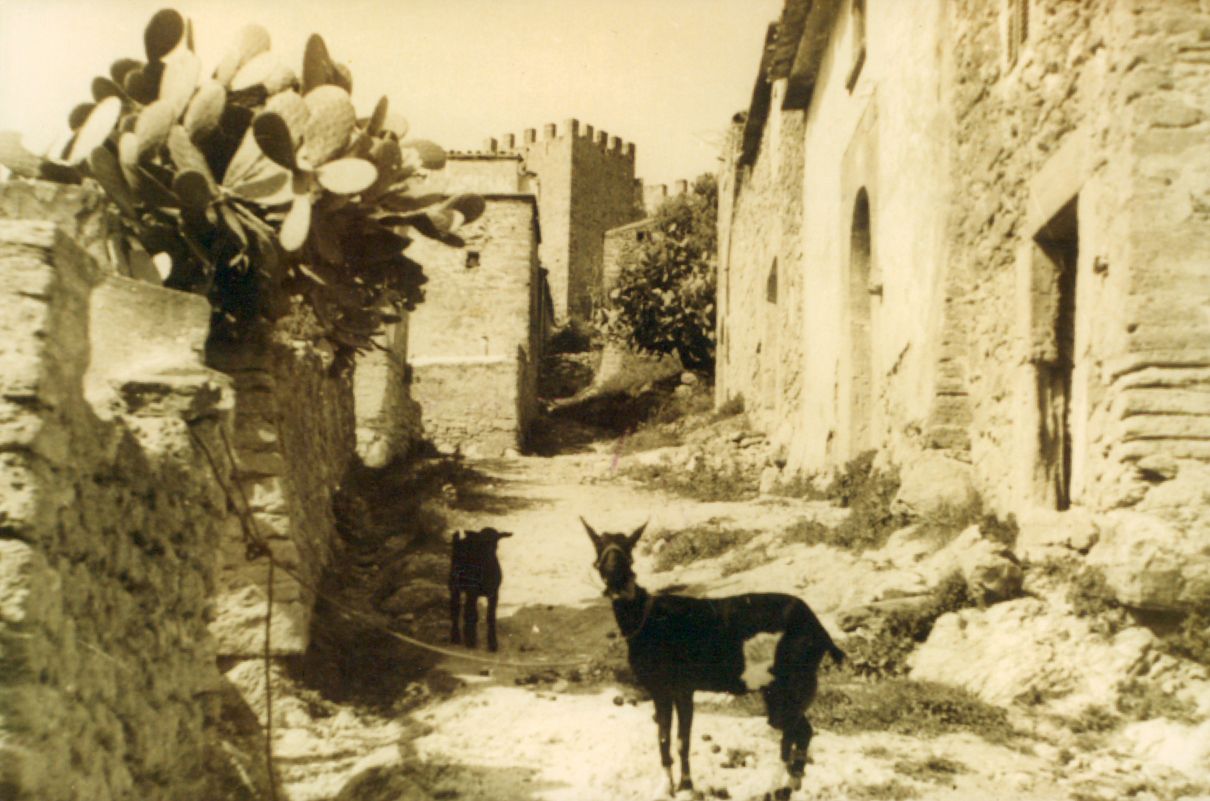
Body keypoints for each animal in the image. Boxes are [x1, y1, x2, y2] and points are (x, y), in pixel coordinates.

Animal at [583, 517, 847, 798]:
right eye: (598, 546)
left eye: (629, 548)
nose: (616, 579)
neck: (647, 616)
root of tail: (819, 629)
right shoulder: (668, 690)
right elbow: (670, 739)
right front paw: (673, 786)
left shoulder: (675, 689)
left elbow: (676, 740)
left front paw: (681, 786)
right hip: (780, 691)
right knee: (802, 731)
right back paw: (791, 784)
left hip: (790, 689)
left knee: (789, 735)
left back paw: (775, 788)